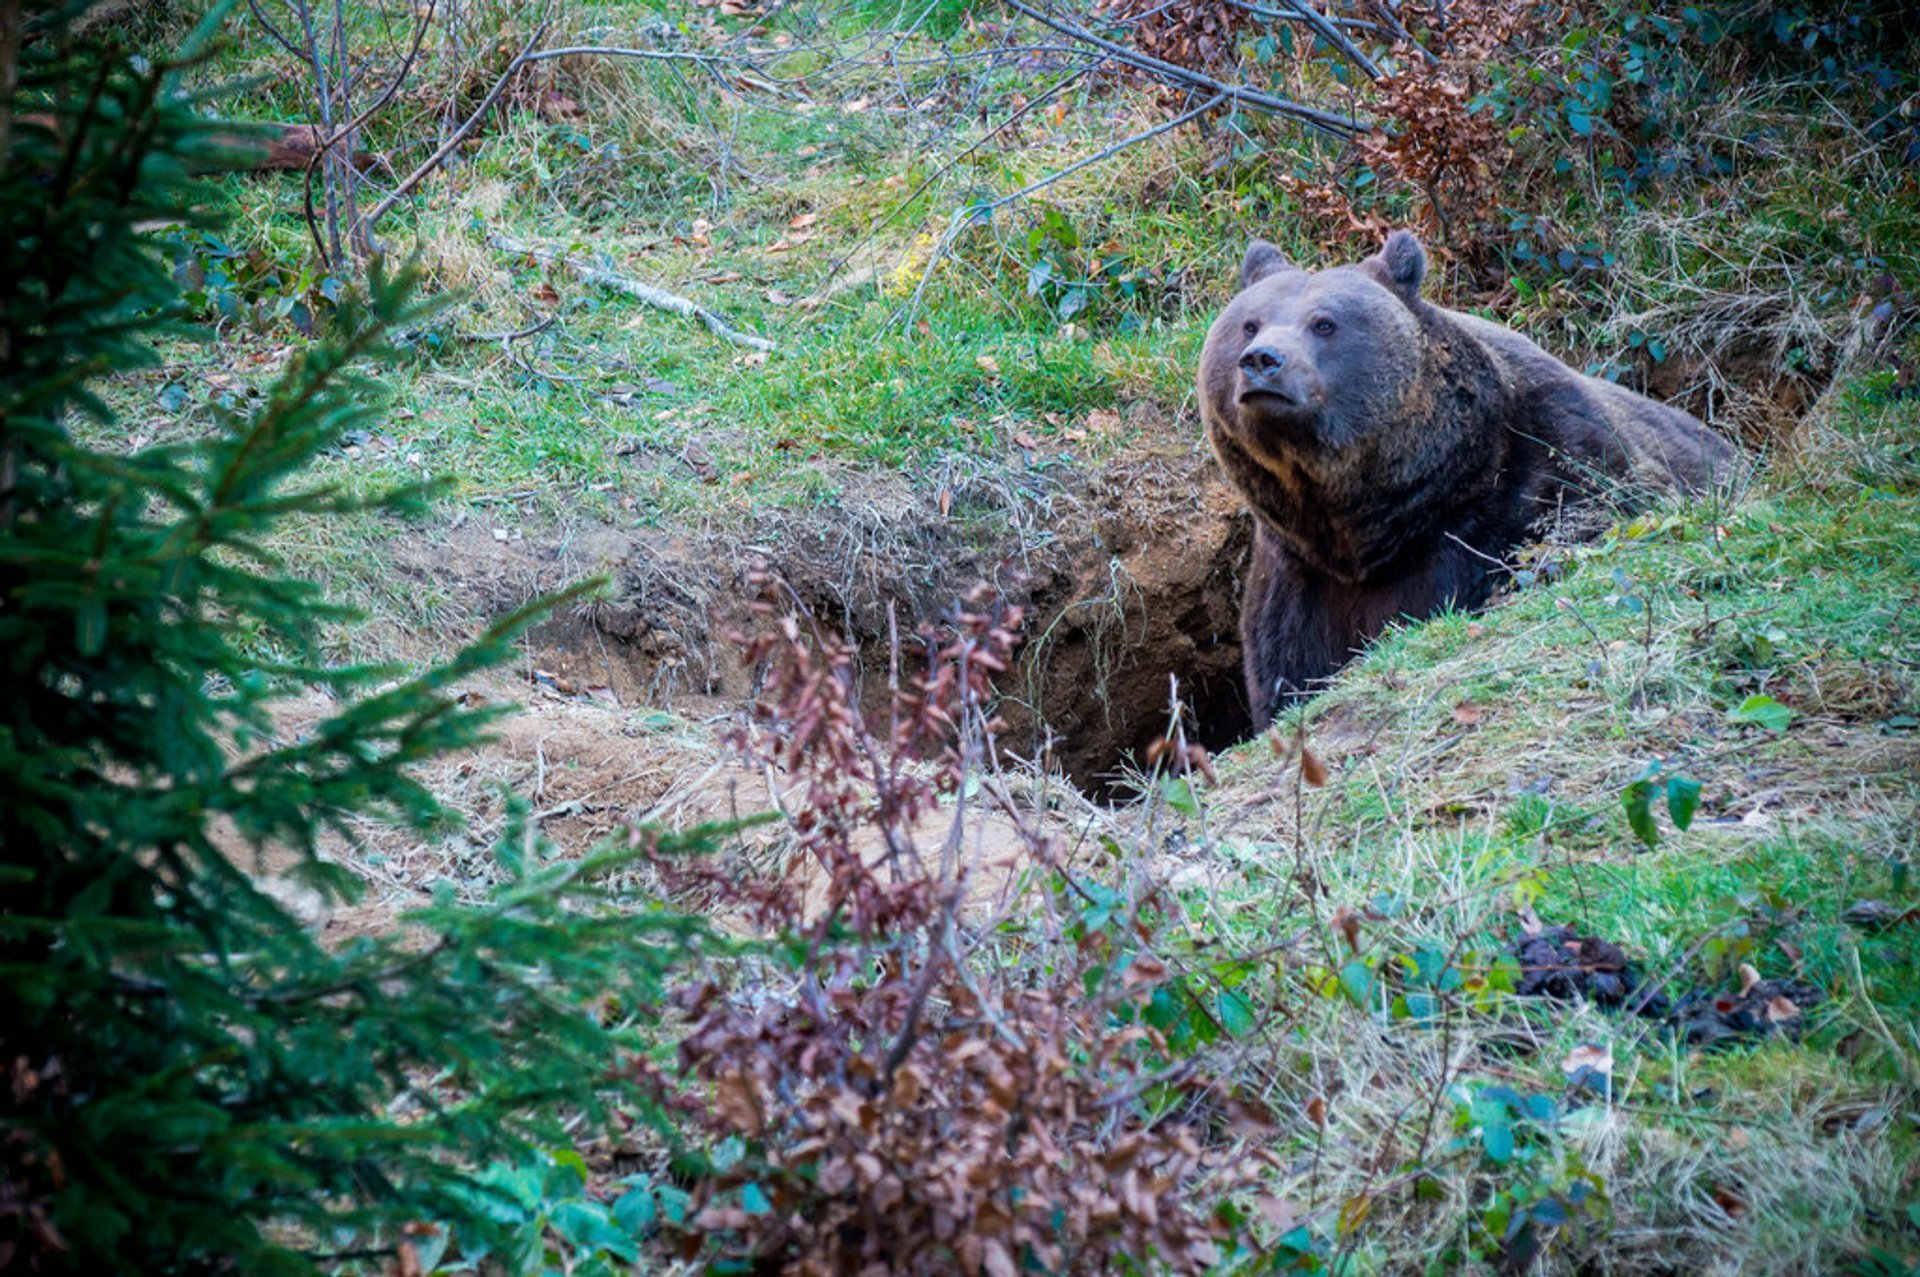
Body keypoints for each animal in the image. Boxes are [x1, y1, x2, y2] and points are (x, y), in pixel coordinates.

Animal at [1198, 229, 1743, 725]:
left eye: (1325, 323)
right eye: (1249, 324)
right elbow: (1291, 672)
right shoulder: (1299, 579)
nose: (1263, 361)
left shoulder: (1539, 478)